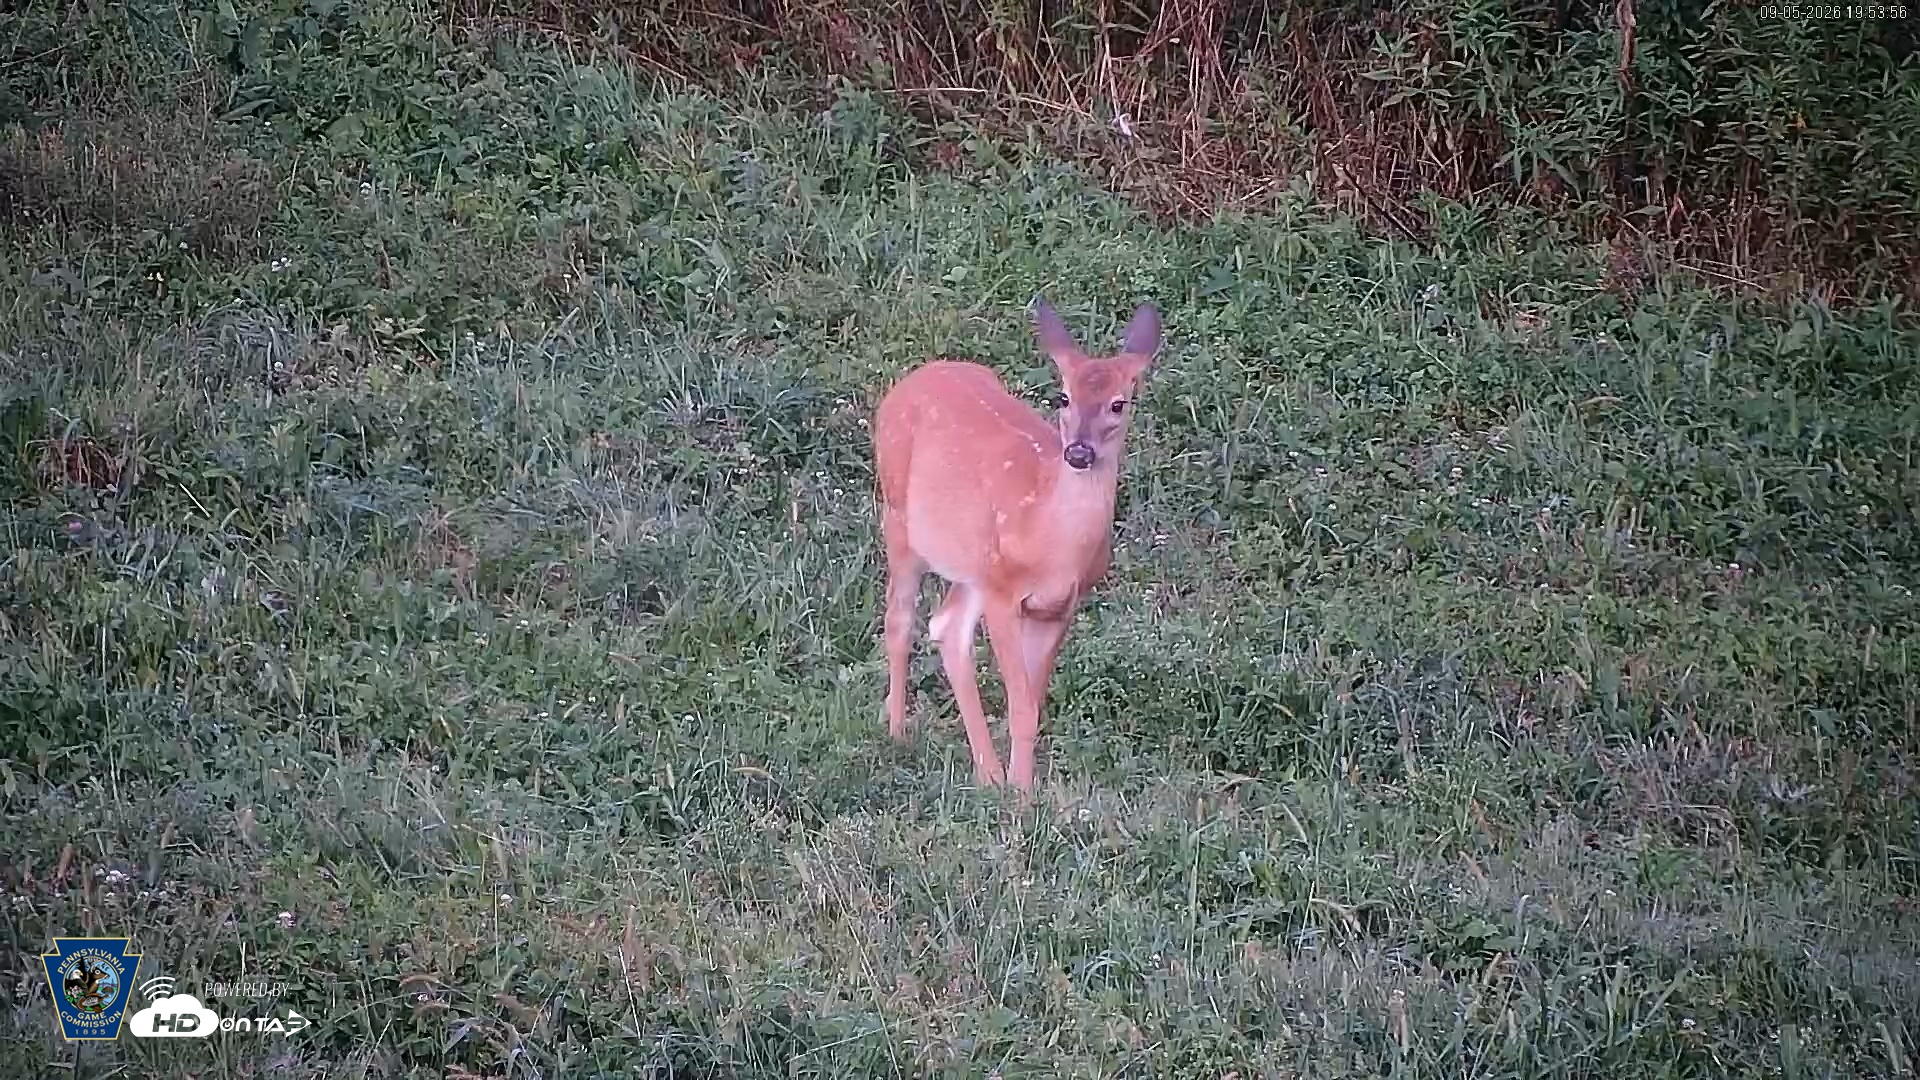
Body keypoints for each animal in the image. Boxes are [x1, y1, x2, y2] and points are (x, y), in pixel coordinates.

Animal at [872, 296, 1162, 792]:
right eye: (1064, 397)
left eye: (1118, 404)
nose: (1078, 452)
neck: (1051, 541)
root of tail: (908, 382)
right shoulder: (1004, 595)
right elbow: (1021, 704)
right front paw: (1021, 796)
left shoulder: (1058, 606)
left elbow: (1030, 705)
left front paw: (1021, 787)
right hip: (900, 520)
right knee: (899, 620)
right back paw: (897, 732)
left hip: (973, 564)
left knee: (946, 626)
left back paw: (986, 773)